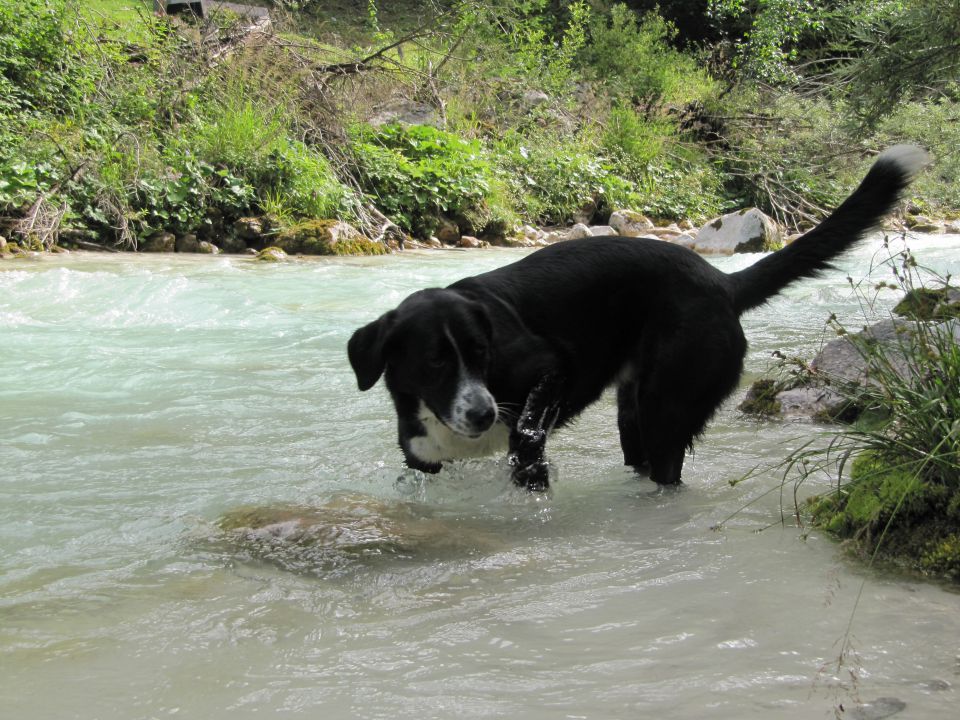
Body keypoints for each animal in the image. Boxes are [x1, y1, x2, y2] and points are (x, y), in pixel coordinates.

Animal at [348, 149, 928, 492]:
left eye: (482, 354)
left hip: (667, 405)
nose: (485, 413)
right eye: (435, 362)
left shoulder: (547, 371)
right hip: (635, 412)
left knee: (667, 467)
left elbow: (528, 434)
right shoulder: (422, 464)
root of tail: (721, 282)